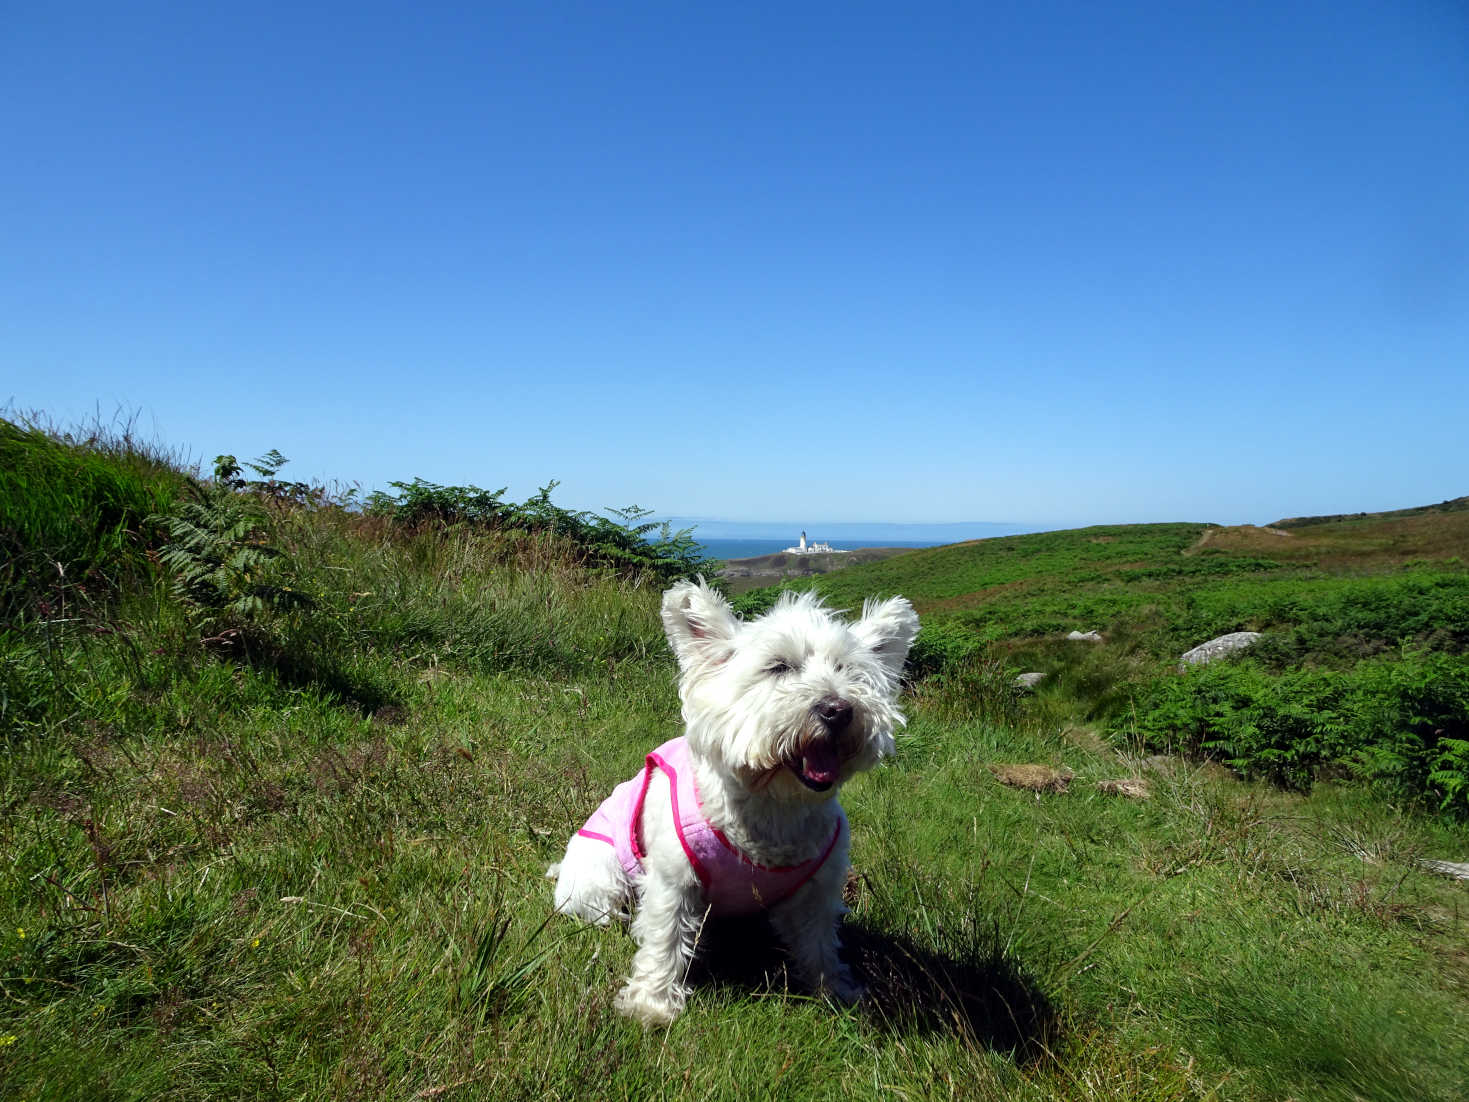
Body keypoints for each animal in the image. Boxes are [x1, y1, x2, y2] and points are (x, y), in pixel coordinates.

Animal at [552, 581, 916, 1034]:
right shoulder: (674, 880)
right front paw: (652, 1005)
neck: (772, 805)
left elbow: (819, 943)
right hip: (598, 879)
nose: (838, 710)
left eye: (847, 670)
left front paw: (836, 991)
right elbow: (664, 939)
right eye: (779, 667)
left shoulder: (818, 887)